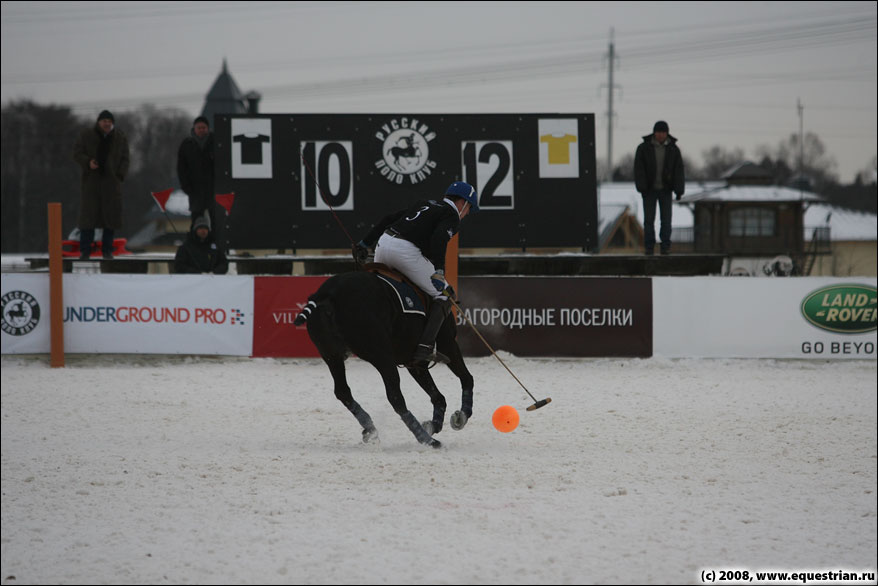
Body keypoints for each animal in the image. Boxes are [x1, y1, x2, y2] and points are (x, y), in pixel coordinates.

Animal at [296, 270, 474, 448]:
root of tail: (328, 291)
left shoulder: (414, 362)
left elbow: (438, 396)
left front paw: (434, 424)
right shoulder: (447, 343)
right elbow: (466, 378)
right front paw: (462, 416)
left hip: (331, 354)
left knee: (342, 391)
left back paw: (370, 428)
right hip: (381, 353)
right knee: (395, 396)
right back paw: (426, 439)